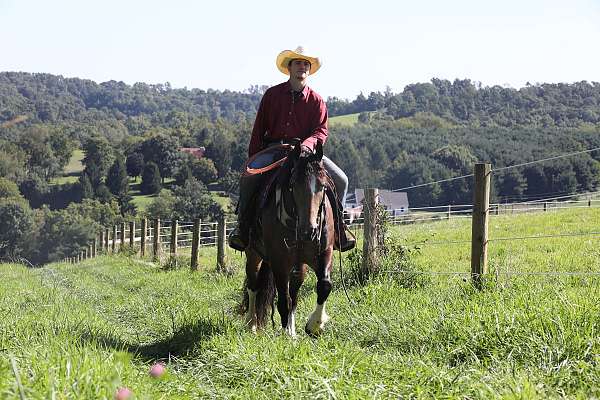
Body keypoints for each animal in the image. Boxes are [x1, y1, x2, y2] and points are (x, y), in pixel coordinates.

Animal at [245, 142, 338, 336]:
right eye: (293, 185)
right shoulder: (279, 262)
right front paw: (285, 334)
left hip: (299, 266)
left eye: (323, 186)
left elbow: (324, 285)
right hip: (254, 256)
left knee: (294, 295)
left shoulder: (325, 252)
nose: (309, 231)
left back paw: (292, 330)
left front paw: (314, 325)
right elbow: (283, 300)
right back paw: (252, 324)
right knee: (253, 284)